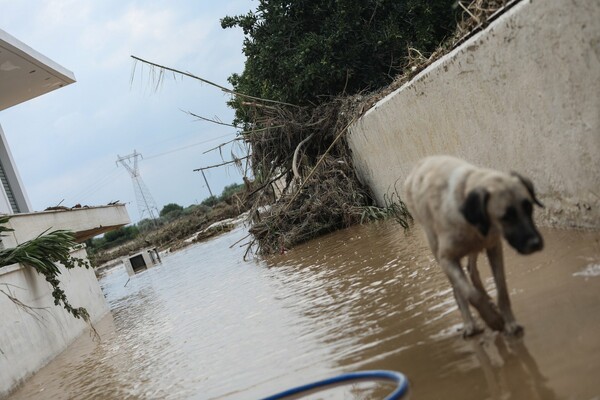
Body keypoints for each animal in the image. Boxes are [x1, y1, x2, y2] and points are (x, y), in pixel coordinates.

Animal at [404, 156, 544, 338]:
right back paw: (470, 323)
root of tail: (421, 163)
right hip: (434, 243)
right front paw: (493, 320)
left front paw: (509, 322)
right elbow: (469, 293)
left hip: (475, 248)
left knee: (471, 268)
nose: (535, 244)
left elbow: (502, 289)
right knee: (459, 288)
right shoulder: (447, 259)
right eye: (506, 217)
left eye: (529, 208)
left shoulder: (494, 247)